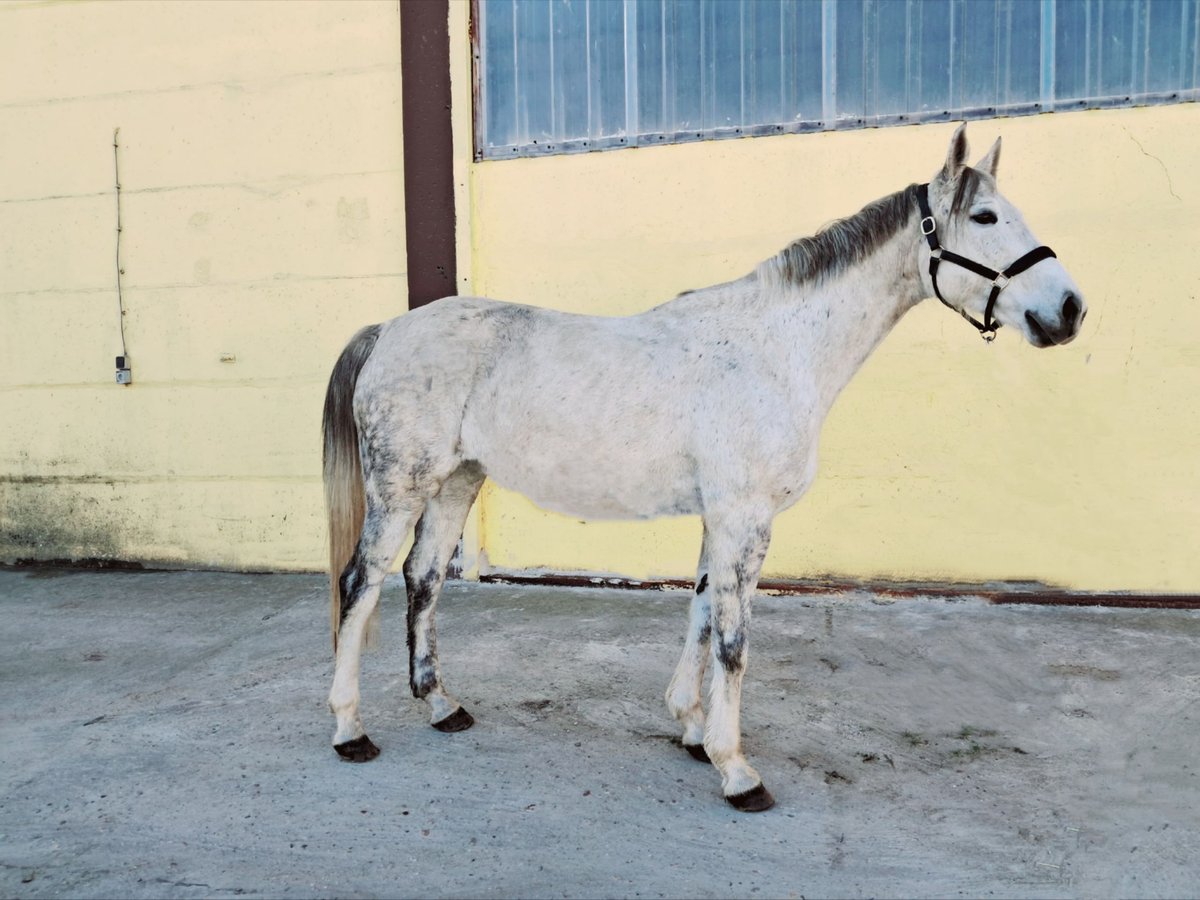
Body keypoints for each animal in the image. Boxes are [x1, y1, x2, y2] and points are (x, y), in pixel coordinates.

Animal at [324, 128, 1084, 816]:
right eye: (984, 218)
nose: (1070, 310)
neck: (775, 349)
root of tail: (388, 330)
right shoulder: (745, 516)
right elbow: (734, 640)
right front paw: (736, 770)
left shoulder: (719, 517)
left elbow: (699, 613)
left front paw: (690, 729)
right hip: (401, 487)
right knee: (362, 583)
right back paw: (349, 729)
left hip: (457, 480)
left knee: (423, 578)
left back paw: (441, 706)